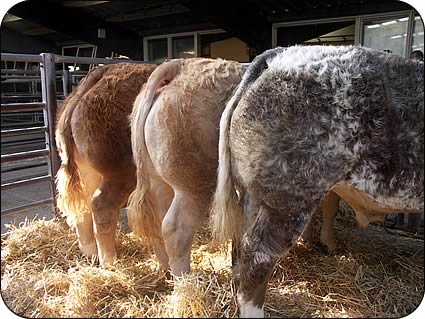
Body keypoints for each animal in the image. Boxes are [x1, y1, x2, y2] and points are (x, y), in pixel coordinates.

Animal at [54, 62, 156, 268]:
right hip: (122, 172)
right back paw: (110, 262)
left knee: (84, 206)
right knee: (102, 205)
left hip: (87, 172)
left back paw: (90, 253)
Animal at [126, 57, 242, 276]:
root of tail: (181, 65)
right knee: (176, 228)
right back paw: (184, 279)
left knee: (157, 221)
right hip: (195, 184)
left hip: (158, 180)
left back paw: (166, 271)